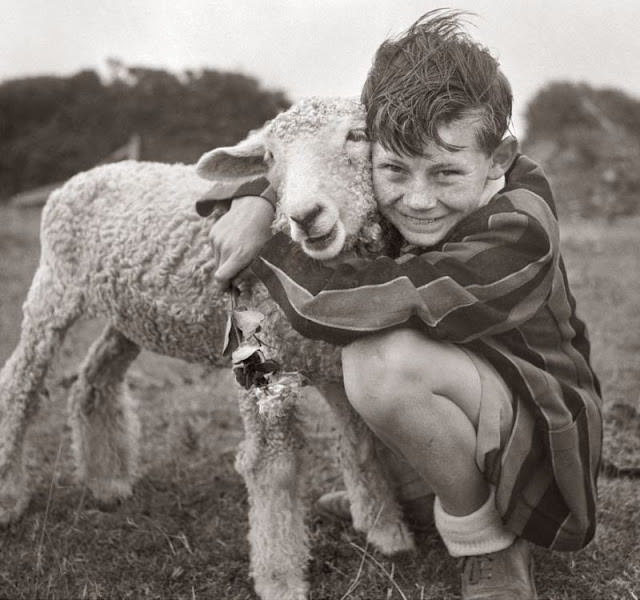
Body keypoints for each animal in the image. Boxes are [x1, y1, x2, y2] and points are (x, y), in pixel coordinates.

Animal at [0, 96, 416, 596]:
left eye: (357, 135)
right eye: (270, 158)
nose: (305, 215)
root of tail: (87, 175)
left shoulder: (331, 355)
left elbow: (362, 444)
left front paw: (385, 529)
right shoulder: (261, 362)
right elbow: (272, 466)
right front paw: (279, 577)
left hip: (130, 314)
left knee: (95, 378)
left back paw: (107, 481)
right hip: (54, 288)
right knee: (20, 382)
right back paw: (9, 497)